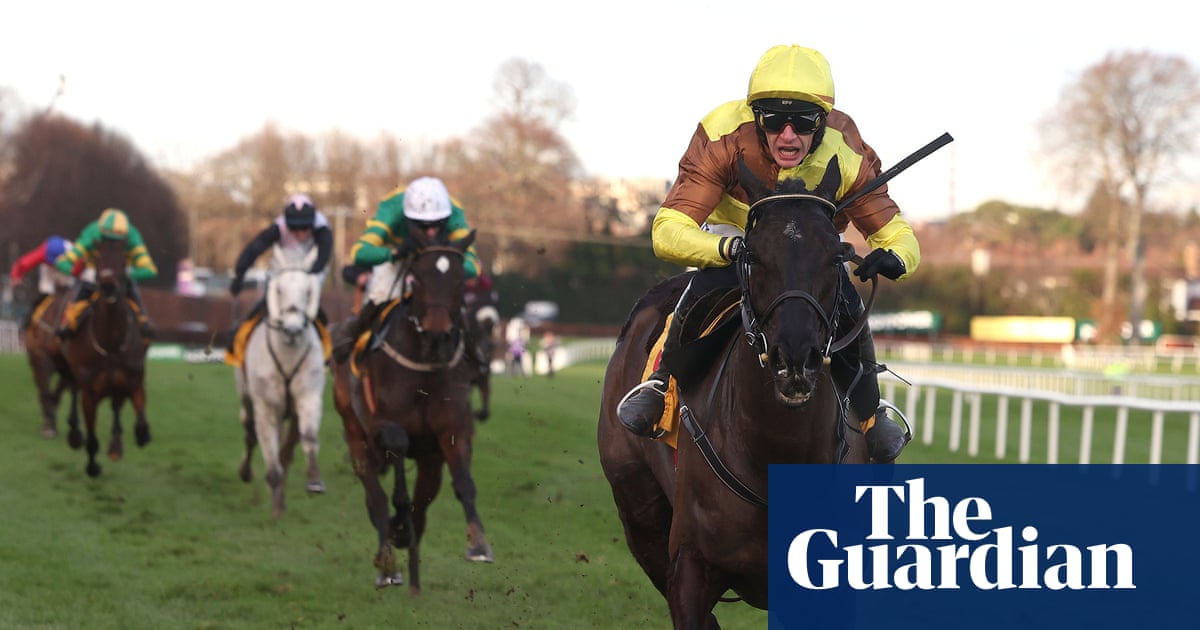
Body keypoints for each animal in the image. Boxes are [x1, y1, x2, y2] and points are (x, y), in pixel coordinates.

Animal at [60, 237, 152, 477]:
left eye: (123, 259)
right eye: (98, 259)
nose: (109, 285)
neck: (110, 343)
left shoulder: (133, 381)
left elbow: (140, 424)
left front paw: (142, 435)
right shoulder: (90, 393)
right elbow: (92, 438)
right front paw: (93, 467)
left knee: (116, 407)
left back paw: (116, 446)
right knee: (73, 389)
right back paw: (75, 433)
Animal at [234, 246, 327, 519]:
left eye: (308, 291)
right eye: (279, 290)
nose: (293, 329)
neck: (288, 353)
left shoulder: (308, 396)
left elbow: (308, 437)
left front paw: (314, 481)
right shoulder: (265, 406)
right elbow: (268, 451)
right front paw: (275, 512)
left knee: (287, 449)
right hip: (247, 398)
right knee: (250, 432)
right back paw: (248, 473)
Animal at [331, 227, 494, 593]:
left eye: (460, 281)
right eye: (417, 278)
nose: (437, 334)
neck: (424, 363)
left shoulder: (452, 429)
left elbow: (464, 482)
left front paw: (478, 543)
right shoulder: (382, 424)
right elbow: (396, 447)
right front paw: (396, 522)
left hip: (431, 462)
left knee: (421, 509)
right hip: (352, 429)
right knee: (375, 497)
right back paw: (387, 562)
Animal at [597, 158, 869, 628]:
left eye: (837, 256)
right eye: (752, 255)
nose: (794, 358)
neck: (775, 453)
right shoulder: (689, 566)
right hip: (639, 512)